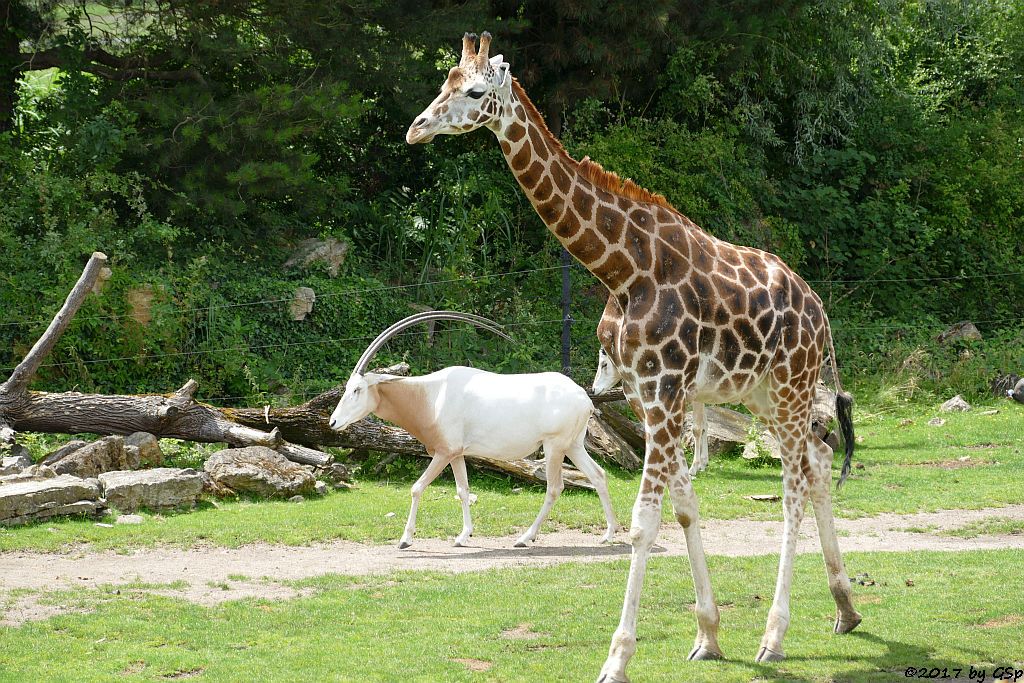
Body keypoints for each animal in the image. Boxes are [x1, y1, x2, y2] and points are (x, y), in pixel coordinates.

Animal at [407, 33, 864, 683]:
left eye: (473, 91)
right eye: (442, 82)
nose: (416, 129)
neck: (621, 270)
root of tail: (820, 310)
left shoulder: (666, 388)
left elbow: (646, 523)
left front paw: (617, 658)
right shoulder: (649, 395)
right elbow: (685, 507)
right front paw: (707, 635)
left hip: (792, 385)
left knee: (796, 481)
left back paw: (775, 637)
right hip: (763, 394)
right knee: (821, 461)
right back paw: (845, 609)